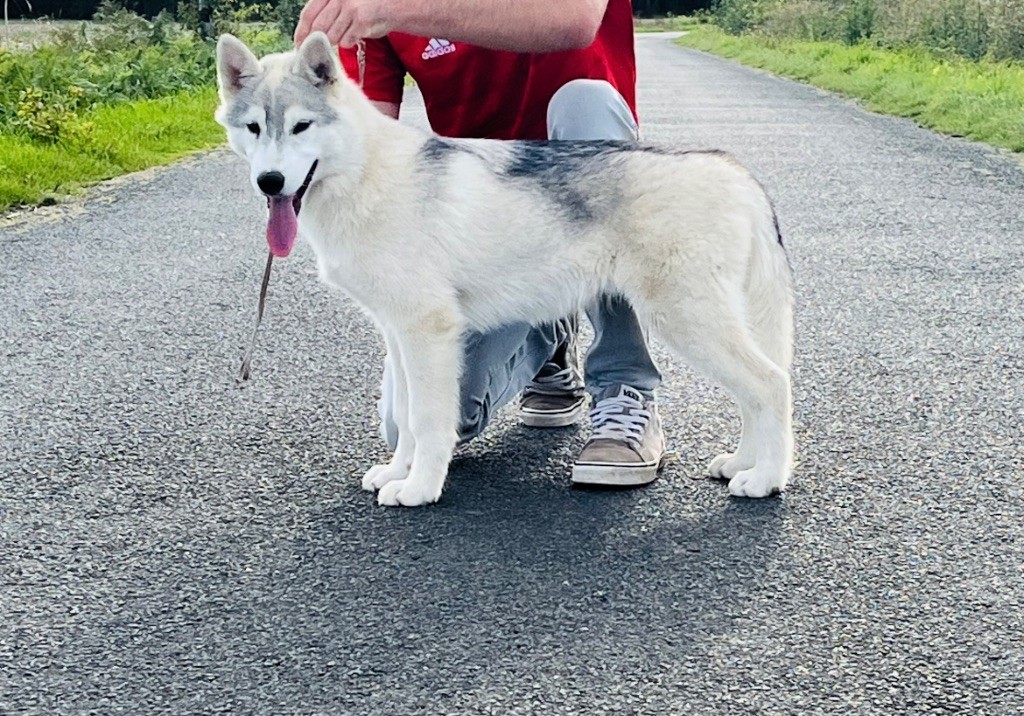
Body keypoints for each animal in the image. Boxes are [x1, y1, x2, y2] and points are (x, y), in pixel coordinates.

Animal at [214, 32, 790, 503]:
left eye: (301, 126)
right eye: (255, 128)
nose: (269, 182)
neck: (364, 173)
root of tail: (733, 171)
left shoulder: (428, 332)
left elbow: (427, 420)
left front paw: (420, 488)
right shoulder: (398, 334)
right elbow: (403, 417)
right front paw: (398, 473)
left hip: (688, 320)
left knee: (771, 383)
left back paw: (766, 479)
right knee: (754, 393)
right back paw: (742, 463)